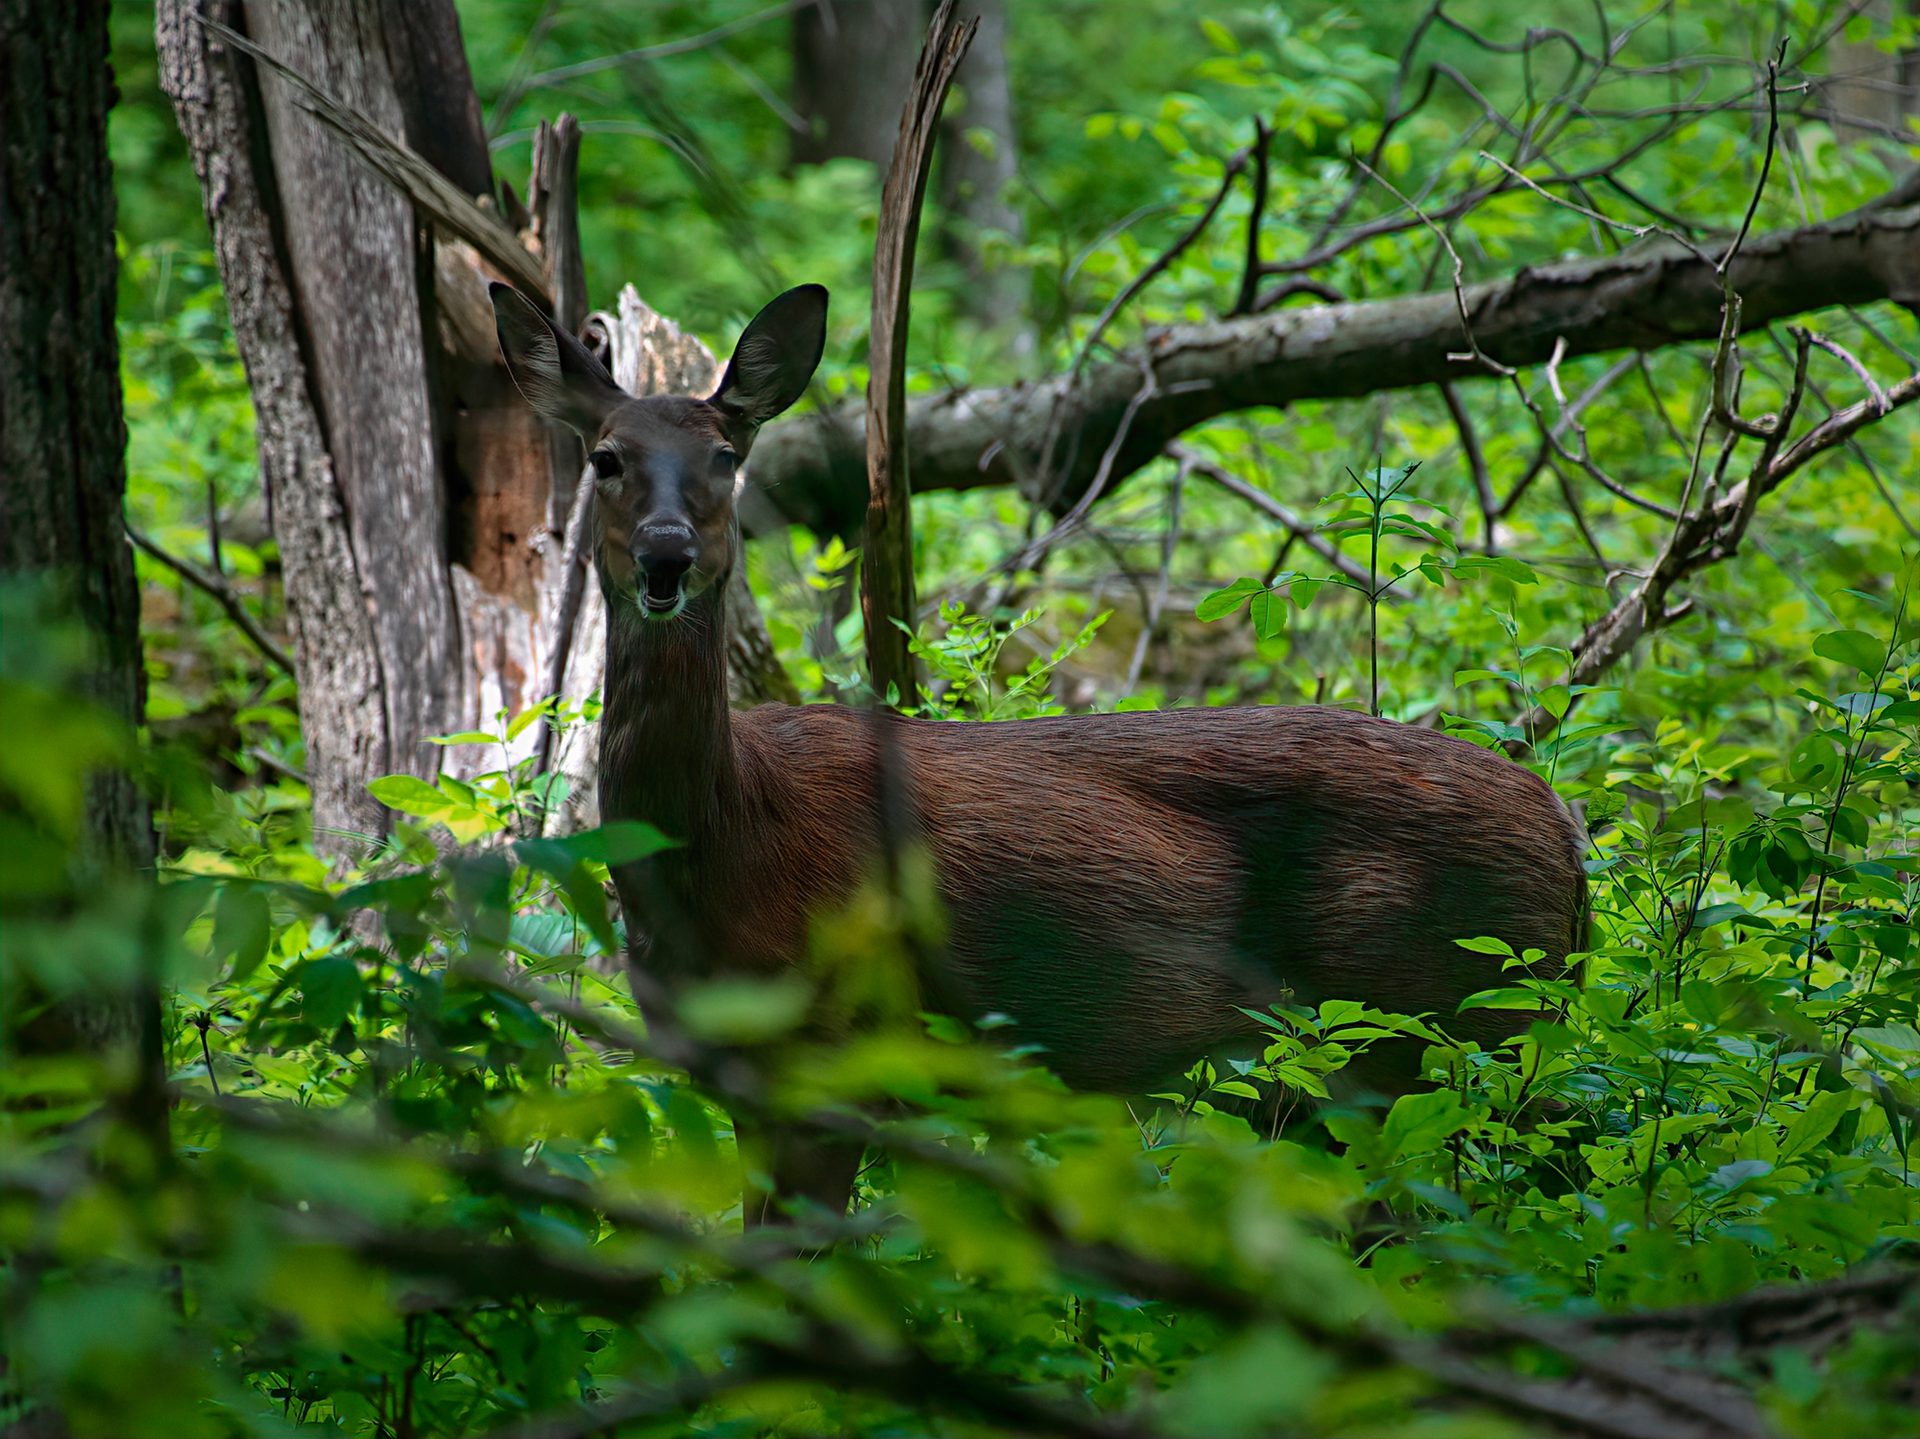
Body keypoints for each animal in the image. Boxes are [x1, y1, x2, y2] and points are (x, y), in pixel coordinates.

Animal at [489, 281, 1590, 1223]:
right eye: (605, 456)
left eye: (726, 454)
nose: (669, 553)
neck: (722, 838)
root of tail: (1569, 835)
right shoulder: (747, 1084)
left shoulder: (837, 1052)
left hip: (1453, 1019)